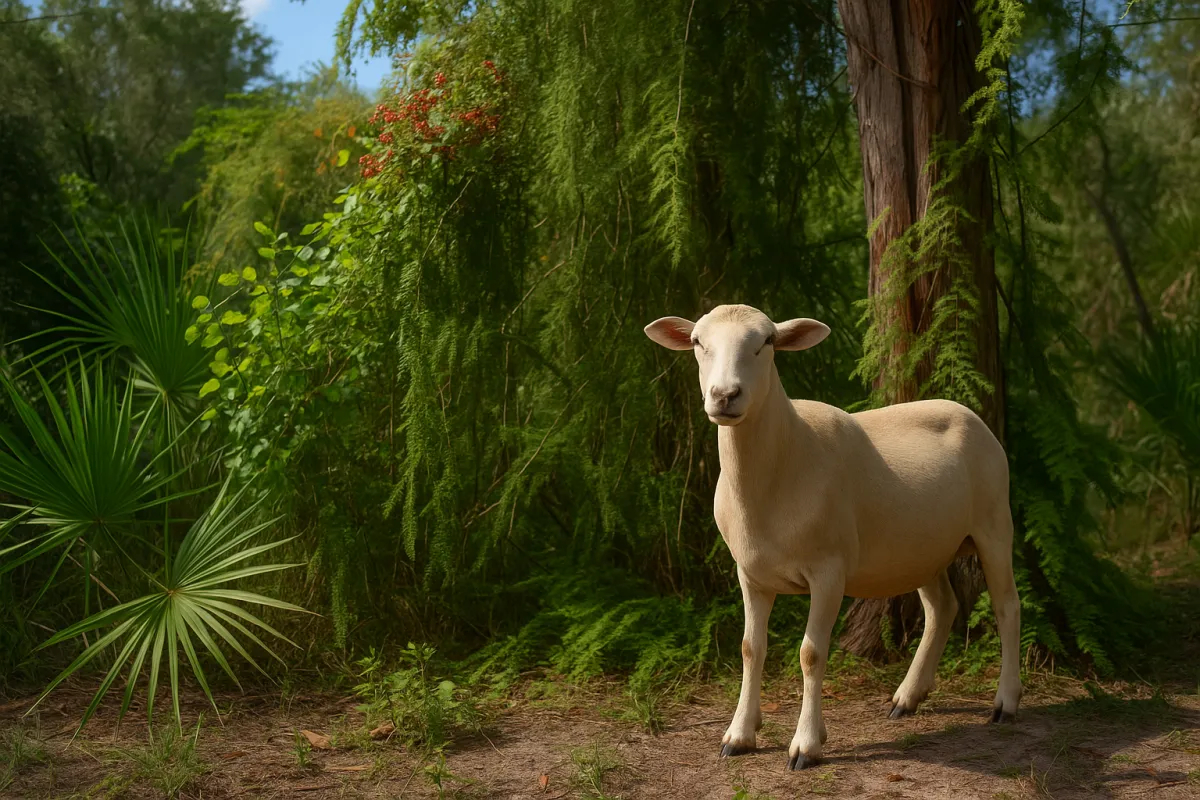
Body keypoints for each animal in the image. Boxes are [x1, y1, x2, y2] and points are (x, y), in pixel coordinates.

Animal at [644, 303, 1021, 771]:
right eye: (697, 341)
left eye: (767, 341)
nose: (725, 396)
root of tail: (967, 412)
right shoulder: (750, 573)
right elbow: (751, 648)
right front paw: (739, 734)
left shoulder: (828, 570)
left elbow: (811, 654)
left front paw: (806, 744)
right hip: (922, 546)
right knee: (942, 607)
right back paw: (907, 697)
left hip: (994, 523)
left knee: (1007, 605)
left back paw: (1005, 703)